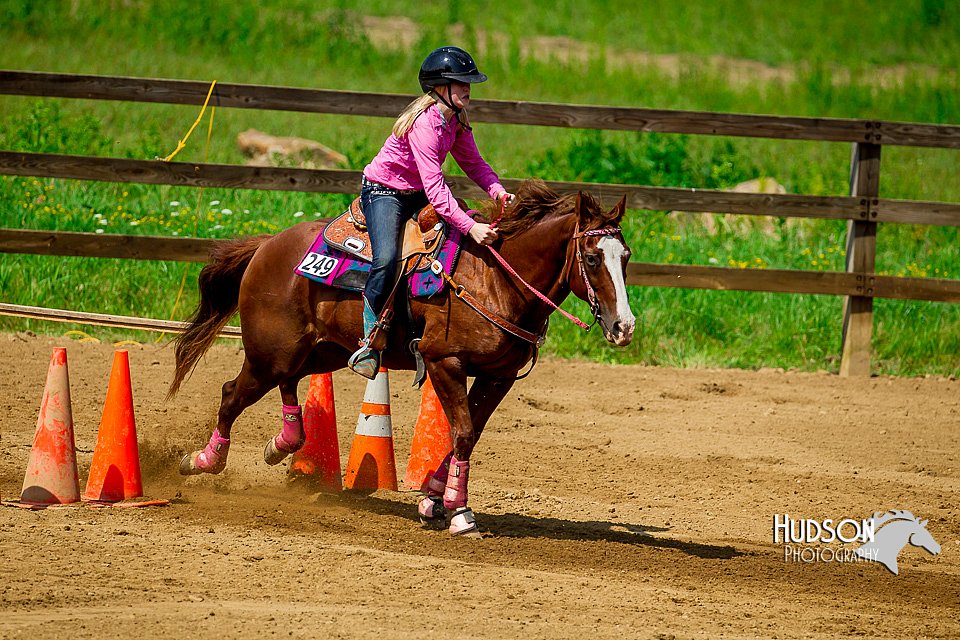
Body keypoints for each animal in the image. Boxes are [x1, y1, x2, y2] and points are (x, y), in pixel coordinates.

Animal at [171, 179, 636, 536]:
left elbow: (468, 434)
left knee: (287, 384)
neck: (495, 280)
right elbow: (462, 432)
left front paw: (433, 501)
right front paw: (459, 512)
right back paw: (202, 461)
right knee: (232, 394)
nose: (624, 326)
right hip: (270, 353)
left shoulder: (498, 376)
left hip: (318, 352)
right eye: (592, 257)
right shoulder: (443, 361)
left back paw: (281, 443)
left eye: (626, 257)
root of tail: (268, 245)